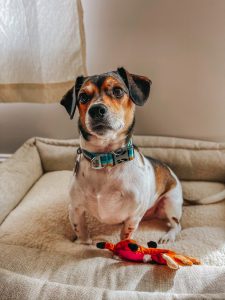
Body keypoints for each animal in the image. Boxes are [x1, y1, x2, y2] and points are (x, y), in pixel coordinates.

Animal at [60, 68, 183, 246]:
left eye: (117, 91)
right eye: (83, 96)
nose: (96, 110)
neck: (105, 158)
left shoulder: (133, 216)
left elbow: (125, 234)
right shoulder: (75, 209)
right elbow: (81, 230)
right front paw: (82, 243)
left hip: (170, 203)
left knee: (177, 225)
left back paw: (168, 236)